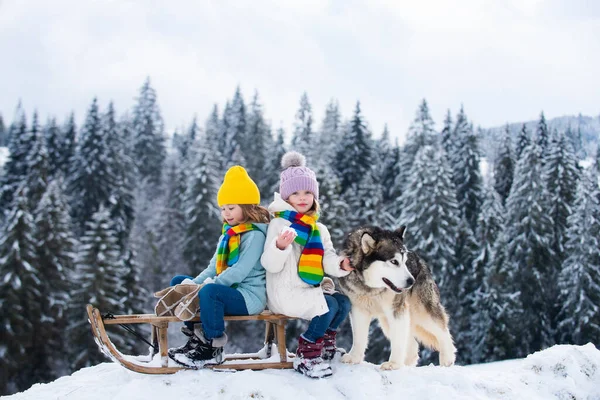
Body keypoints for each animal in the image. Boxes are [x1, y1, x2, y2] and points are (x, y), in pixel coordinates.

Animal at [336, 227, 458, 370]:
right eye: (394, 261)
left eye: (404, 262)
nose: (412, 281)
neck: (371, 289)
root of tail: (420, 260)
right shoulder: (358, 310)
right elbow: (359, 338)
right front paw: (354, 357)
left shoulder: (397, 310)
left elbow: (398, 342)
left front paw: (393, 364)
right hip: (387, 322)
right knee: (412, 345)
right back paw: (406, 364)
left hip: (422, 313)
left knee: (444, 333)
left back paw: (447, 359)